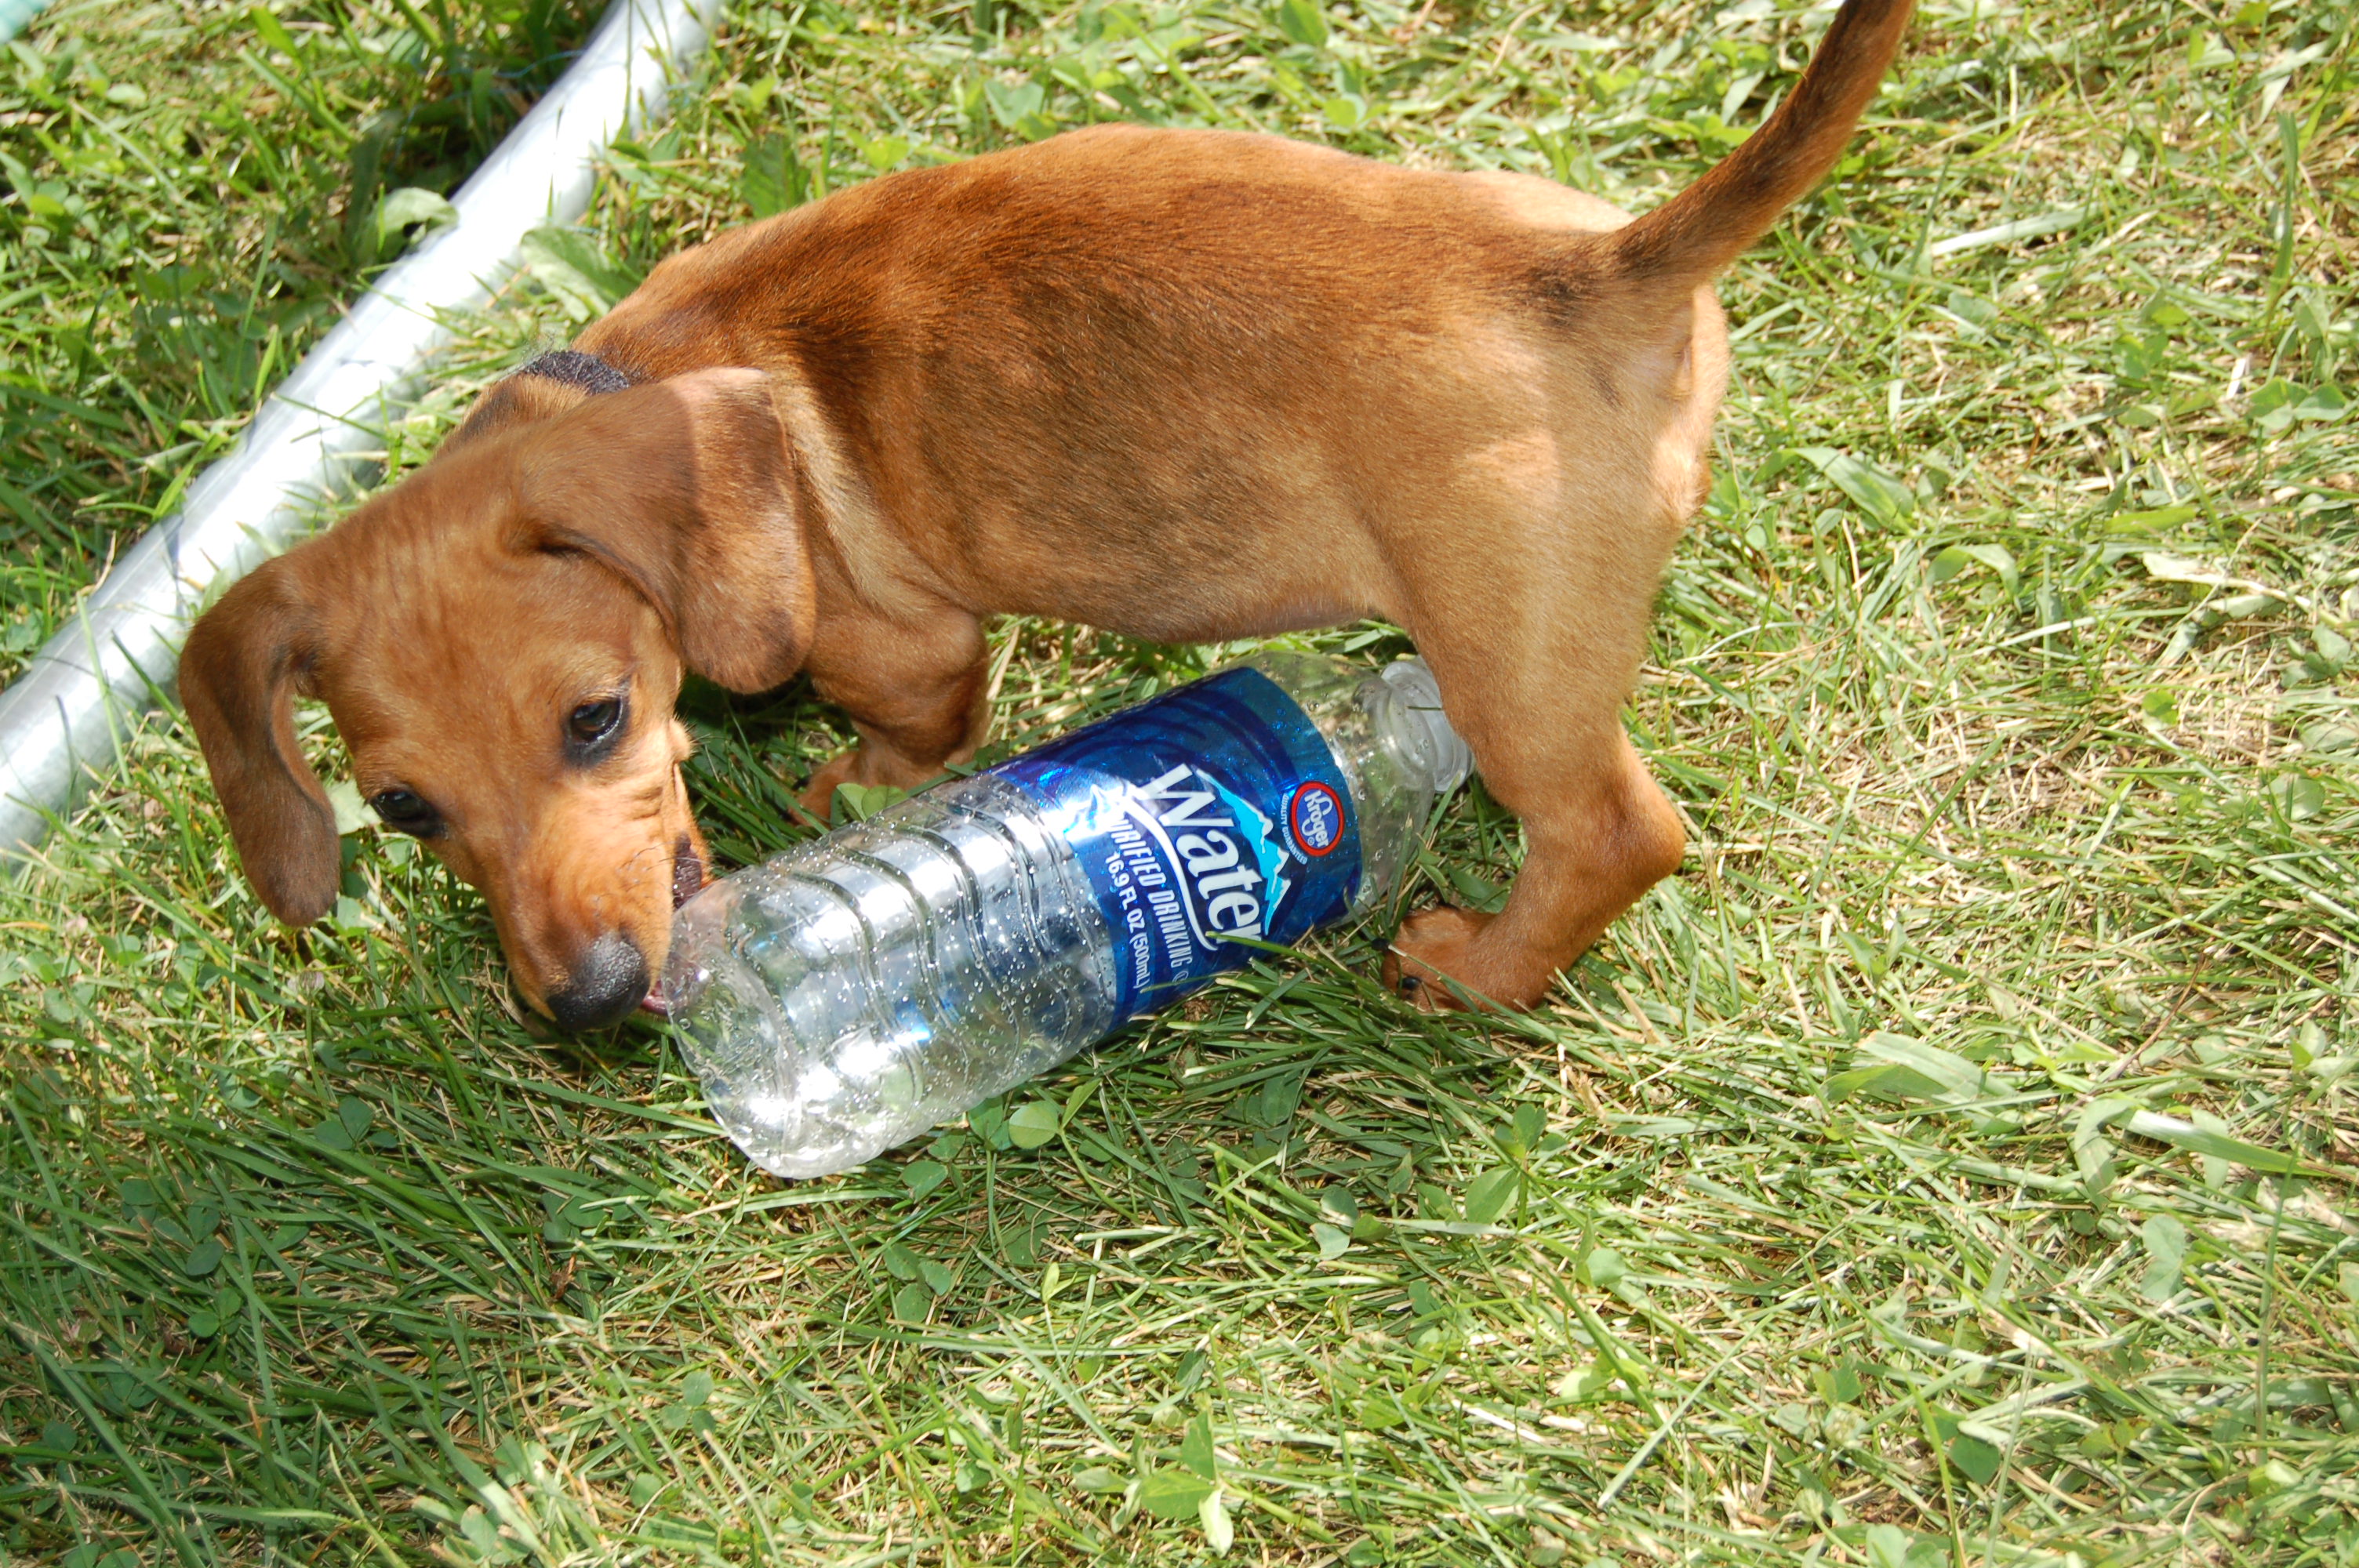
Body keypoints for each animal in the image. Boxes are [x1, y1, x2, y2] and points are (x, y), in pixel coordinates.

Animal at [179, 0, 1915, 1028]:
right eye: (401, 807)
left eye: (596, 720)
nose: (594, 1002)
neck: (643, 379)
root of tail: (1598, 266)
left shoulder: (909, 643)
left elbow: (913, 729)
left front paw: (851, 785)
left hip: (1514, 672)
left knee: (1618, 832)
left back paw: (1479, 968)